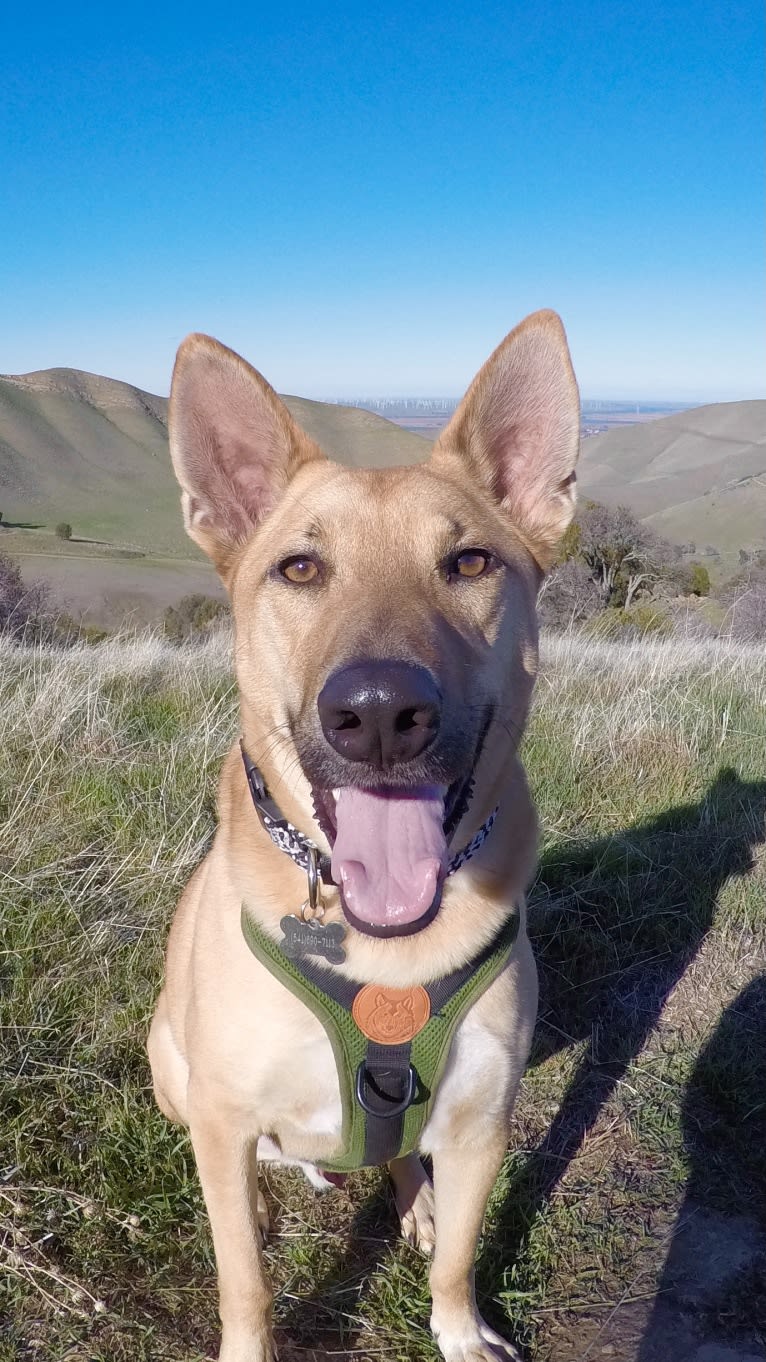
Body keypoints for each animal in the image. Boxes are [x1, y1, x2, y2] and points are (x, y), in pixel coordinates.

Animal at [145, 311, 577, 1362]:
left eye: (470, 563)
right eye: (300, 567)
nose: (379, 715)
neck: (383, 950)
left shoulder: (482, 1121)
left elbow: (459, 1260)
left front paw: (460, 1331)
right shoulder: (224, 1109)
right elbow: (245, 1285)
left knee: (400, 1160)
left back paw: (411, 1197)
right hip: (170, 1061)